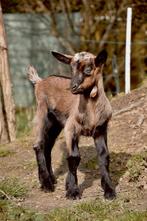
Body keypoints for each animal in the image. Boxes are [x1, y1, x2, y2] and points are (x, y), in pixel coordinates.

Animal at [28, 49, 116, 200]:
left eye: (88, 69)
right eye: (72, 69)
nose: (72, 87)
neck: (91, 114)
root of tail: (39, 81)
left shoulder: (100, 129)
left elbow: (104, 156)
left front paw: (109, 190)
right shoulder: (71, 128)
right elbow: (73, 157)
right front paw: (73, 192)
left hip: (55, 123)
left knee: (47, 147)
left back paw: (50, 179)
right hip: (42, 112)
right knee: (38, 145)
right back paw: (47, 184)